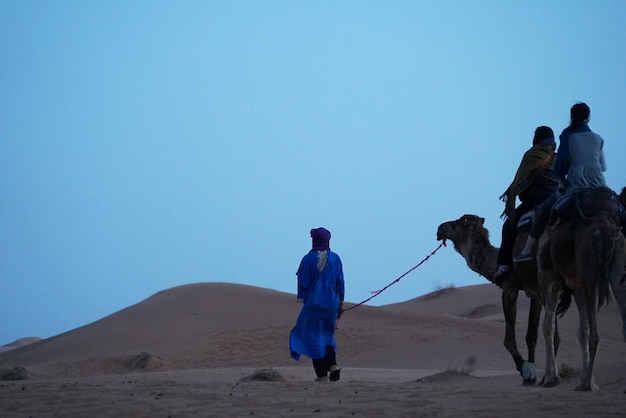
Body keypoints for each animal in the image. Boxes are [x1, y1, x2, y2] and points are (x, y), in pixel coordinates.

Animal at [434, 216, 556, 386]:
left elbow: (510, 339)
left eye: (459, 222)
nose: (439, 229)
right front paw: (532, 375)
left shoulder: (510, 288)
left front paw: (526, 371)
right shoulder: (534, 292)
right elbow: (532, 335)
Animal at [532, 214, 624, 390]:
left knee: (595, 335)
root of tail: (605, 229)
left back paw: (586, 385)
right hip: (618, 269)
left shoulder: (551, 280)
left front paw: (551, 377)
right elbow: (583, 330)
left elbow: (548, 326)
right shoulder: (577, 286)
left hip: (589, 274)